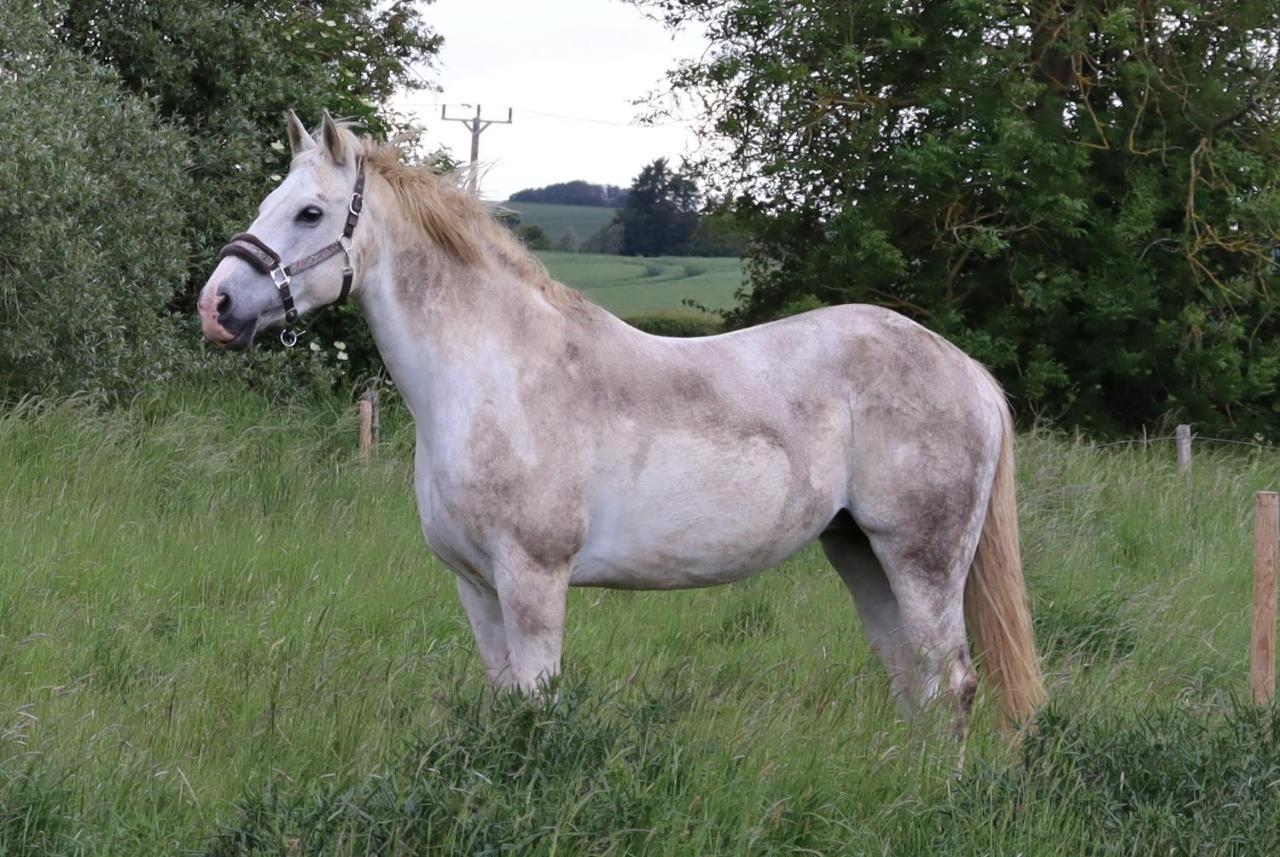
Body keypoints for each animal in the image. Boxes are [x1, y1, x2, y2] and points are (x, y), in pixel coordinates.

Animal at [197, 112, 1039, 736]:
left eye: (309, 211)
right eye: (269, 201)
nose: (216, 305)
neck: (497, 378)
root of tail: (964, 370)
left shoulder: (533, 580)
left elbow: (536, 707)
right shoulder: (475, 584)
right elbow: (503, 704)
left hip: (922, 560)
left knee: (954, 683)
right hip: (860, 552)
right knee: (913, 682)